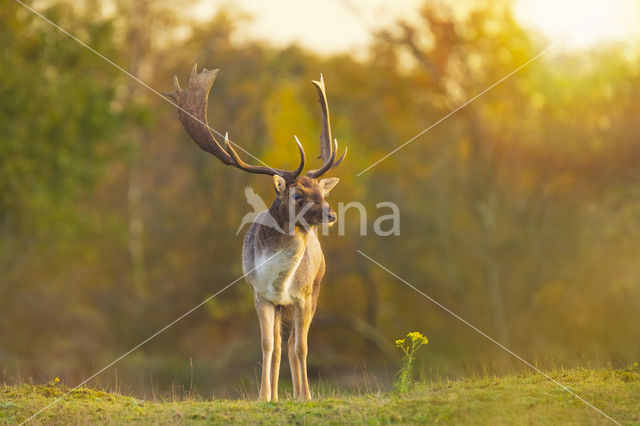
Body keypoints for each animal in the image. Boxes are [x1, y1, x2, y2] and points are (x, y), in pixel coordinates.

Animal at [165, 65, 344, 402]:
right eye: (297, 194)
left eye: (321, 191)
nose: (331, 214)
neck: (280, 281)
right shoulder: (259, 295)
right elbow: (267, 347)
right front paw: (263, 396)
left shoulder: (303, 296)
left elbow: (301, 348)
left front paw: (306, 396)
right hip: (278, 305)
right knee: (279, 346)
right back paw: (274, 394)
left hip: (315, 290)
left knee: (293, 344)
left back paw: (298, 393)